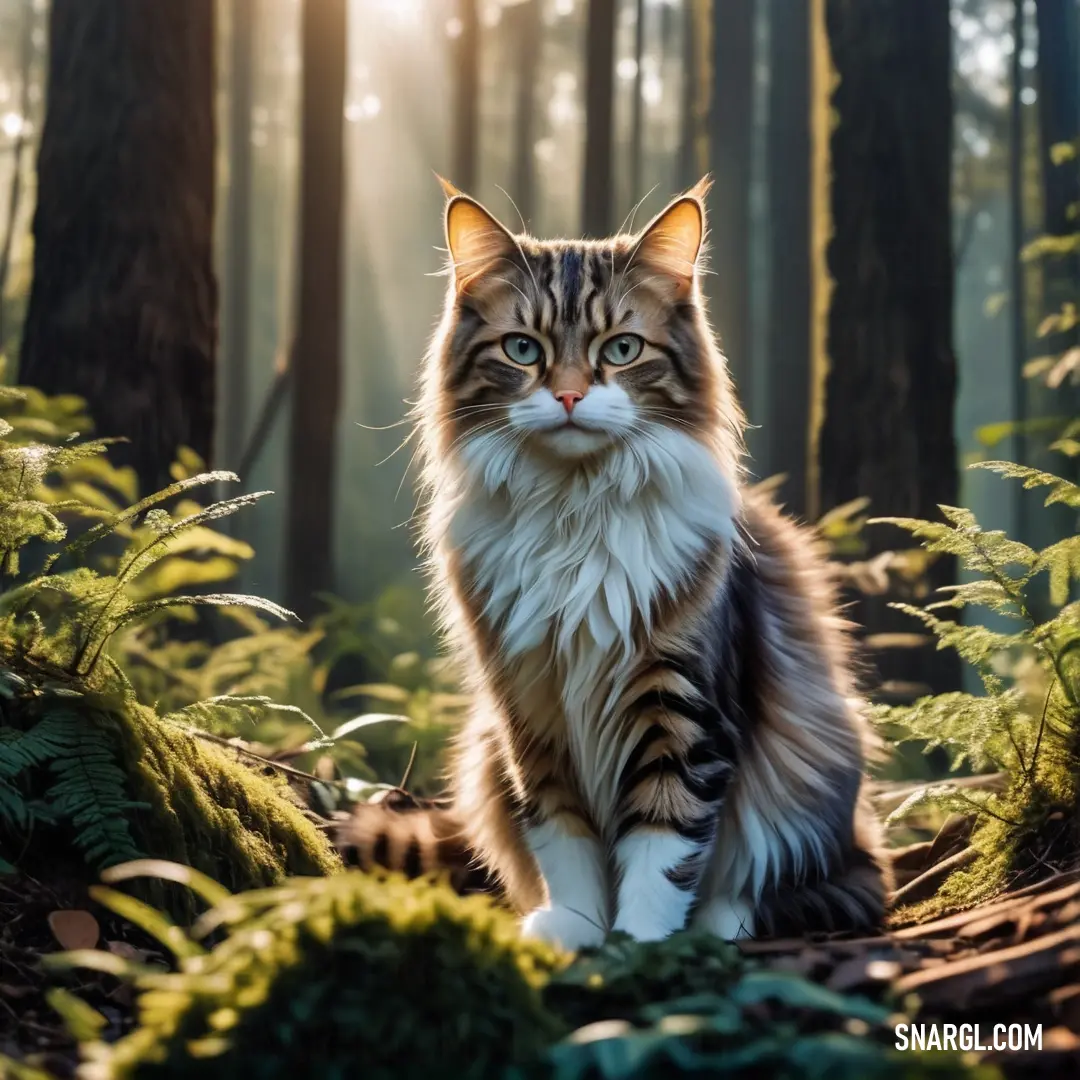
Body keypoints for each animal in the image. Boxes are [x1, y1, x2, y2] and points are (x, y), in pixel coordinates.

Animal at [339, 177, 894, 946]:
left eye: (622, 348)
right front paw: (575, 930)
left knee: (826, 884)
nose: (570, 394)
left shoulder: (680, 706)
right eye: (523, 349)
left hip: (819, 771)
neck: (576, 511)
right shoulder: (529, 707)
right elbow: (562, 837)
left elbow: (663, 844)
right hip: (484, 751)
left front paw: (639, 943)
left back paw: (720, 921)